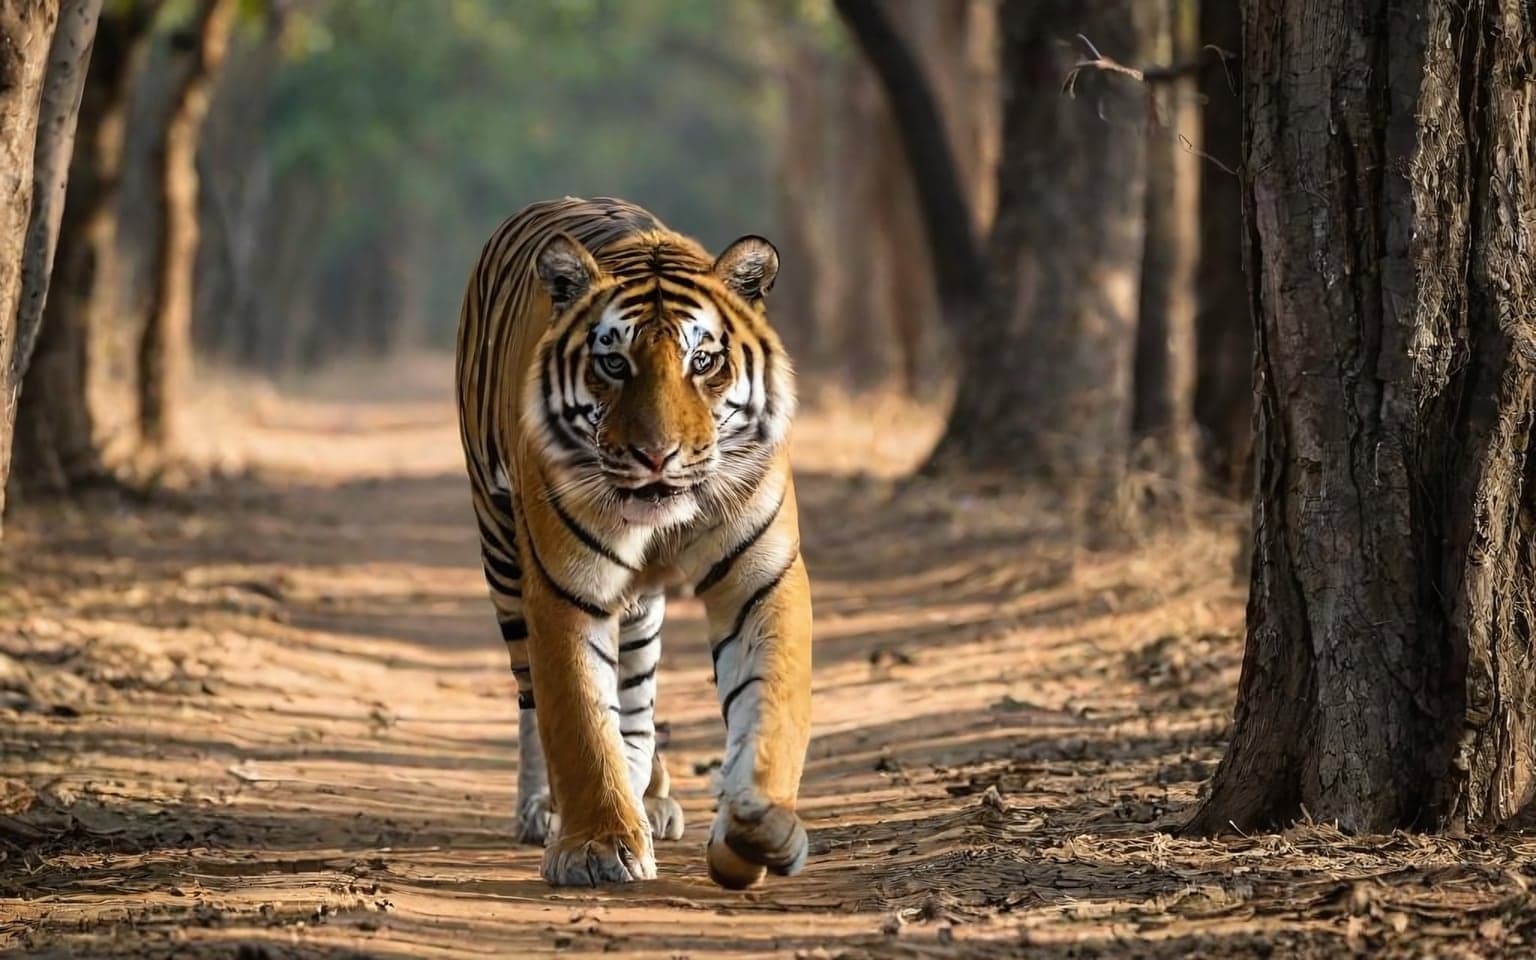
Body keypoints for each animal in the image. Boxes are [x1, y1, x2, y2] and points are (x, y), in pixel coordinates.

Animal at [454, 197, 813, 888]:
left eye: (704, 361)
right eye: (613, 363)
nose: (657, 455)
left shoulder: (762, 580)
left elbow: (771, 699)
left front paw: (757, 825)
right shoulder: (564, 584)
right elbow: (577, 717)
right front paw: (597, 845)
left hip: (640, 609)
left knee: (638, 695)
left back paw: (652, 795)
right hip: (501, 551)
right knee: (533, 698)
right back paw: (547, 810)